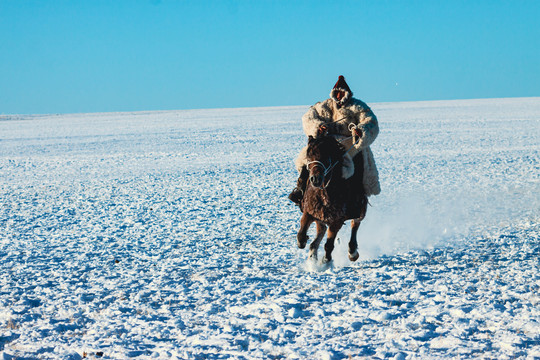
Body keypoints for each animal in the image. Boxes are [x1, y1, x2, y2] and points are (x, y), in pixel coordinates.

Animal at [298, 135, 370, 264]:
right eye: (309, 155)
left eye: (326, 156)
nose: (315, 179)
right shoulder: (310, 211)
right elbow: (301, 234)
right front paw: (305, 244)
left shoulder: (337, 220)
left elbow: (329, 245)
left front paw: (326, 260)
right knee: (320, 232)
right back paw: (312, 254)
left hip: (361, 210)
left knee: (355, 225)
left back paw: (352, 253)